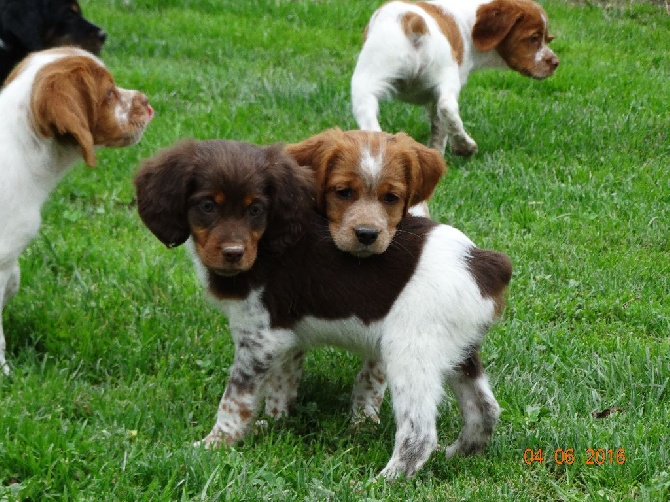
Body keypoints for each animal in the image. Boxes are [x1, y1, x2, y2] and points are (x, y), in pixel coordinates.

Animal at [352, 0, 560, 156]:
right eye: (533, 38)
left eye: (547, 39)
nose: (556, 63)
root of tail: (412, 21)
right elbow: (440, 125)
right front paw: (440, 152)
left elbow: (437, 126)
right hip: (446, 73)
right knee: (447, 107)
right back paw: (465, 145)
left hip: (364, 83)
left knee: (371, 126)